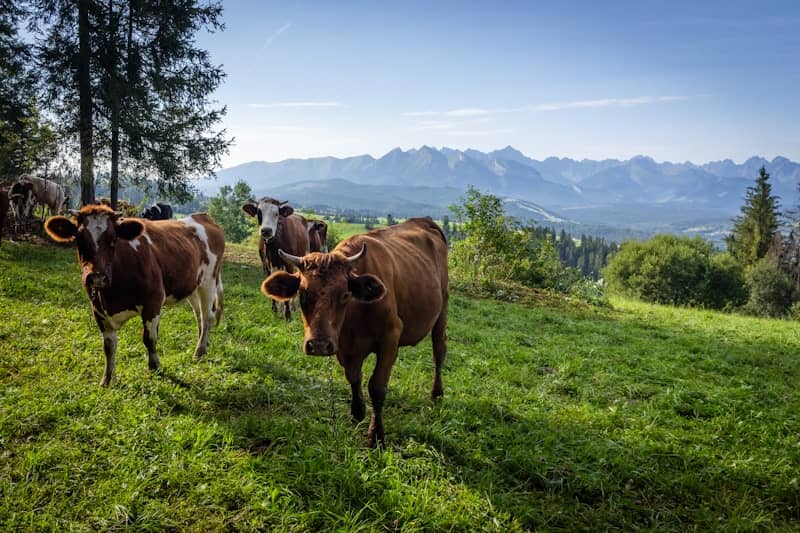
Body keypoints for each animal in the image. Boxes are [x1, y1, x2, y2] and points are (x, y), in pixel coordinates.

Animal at [45, 205, 225, 386]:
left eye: (113, 240)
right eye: (79, 241)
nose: (97, 277)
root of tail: (203, 216)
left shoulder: (153, 302)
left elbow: (149, 338)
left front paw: (155, 367)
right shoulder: (97, 309)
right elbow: (109, 346)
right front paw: (107, 379)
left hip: (209, 280)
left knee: (207, 316)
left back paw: (199, 351)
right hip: (192, 285)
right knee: (199, 316)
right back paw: (203, 344)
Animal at [264, 216, 446, 444]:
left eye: (344, 294)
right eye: (302, 294)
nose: (319, 345)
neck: (355, 314)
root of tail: (424, 221)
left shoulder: (390, 336)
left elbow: (377, 386)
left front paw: (376, 434)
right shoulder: (343, 346)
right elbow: (353, 377)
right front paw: (357, 412)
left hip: (442, 312)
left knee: (439, 351)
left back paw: (436, 393)